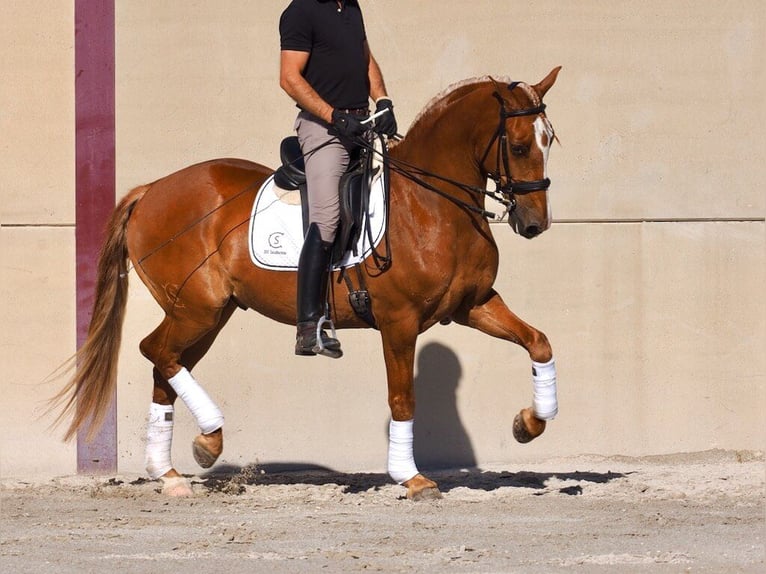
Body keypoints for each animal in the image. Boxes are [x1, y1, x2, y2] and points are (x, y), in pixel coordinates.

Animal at [52, 67, 562, 500]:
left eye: (549, 141)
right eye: (519, 146)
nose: (535, 224)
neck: (431, 205)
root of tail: (151, 190)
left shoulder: (473, 305)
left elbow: (538, 342)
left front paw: (529, 424)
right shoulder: (399, 322)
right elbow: (403, 398)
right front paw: (411, 477)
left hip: (208, 315)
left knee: (166, 364)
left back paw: (173, 473)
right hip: (196, 308)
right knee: (155, 351)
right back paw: (209, 440)